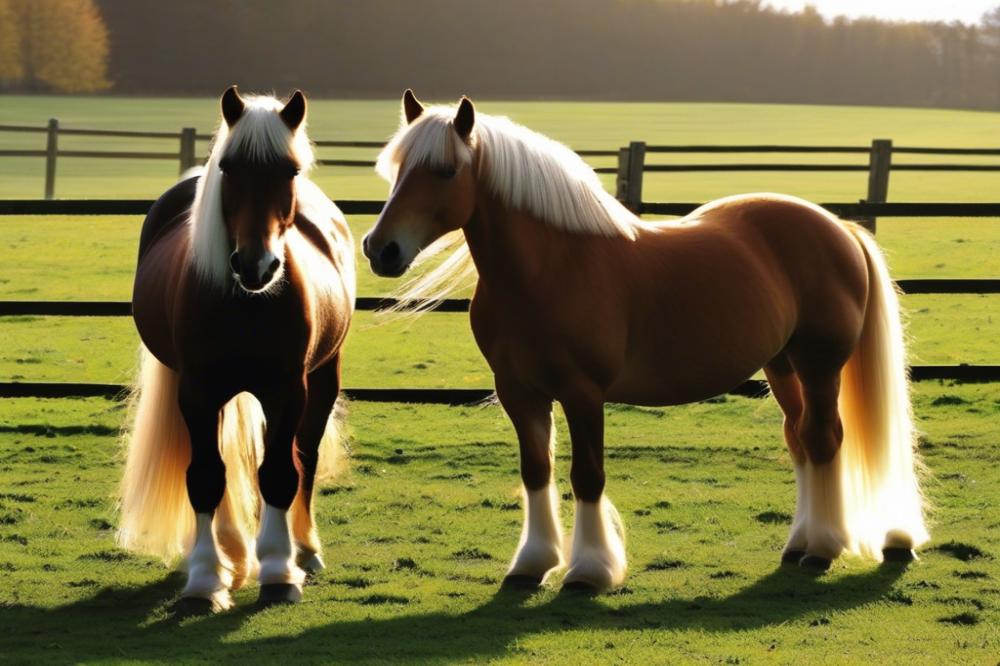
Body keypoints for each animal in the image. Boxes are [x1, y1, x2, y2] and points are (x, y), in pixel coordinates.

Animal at [117, 88, 356, 612]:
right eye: (228, 167)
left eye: (289, 170)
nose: (255, 265)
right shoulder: (198, 392)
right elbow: (206, 477)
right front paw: (206, 580)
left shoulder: (287, 391)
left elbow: (280, 474)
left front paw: (278, 572)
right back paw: (227, 554)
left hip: (323, 379)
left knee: (305, 456)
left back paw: (303, 550)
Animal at [362, 89, 928, 592]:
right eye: (397, 170)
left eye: (446, 171)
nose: (381, 249)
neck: (551, 268)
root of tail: (838, 227)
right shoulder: (519, 393)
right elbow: (536, 471)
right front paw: (531, 565)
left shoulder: (583, 393)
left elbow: (587, 475)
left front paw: (589, 571)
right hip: (782, 365)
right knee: (801, 440)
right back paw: (798, 545)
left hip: (819, 365)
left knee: (824, 439)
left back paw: (823, 549)